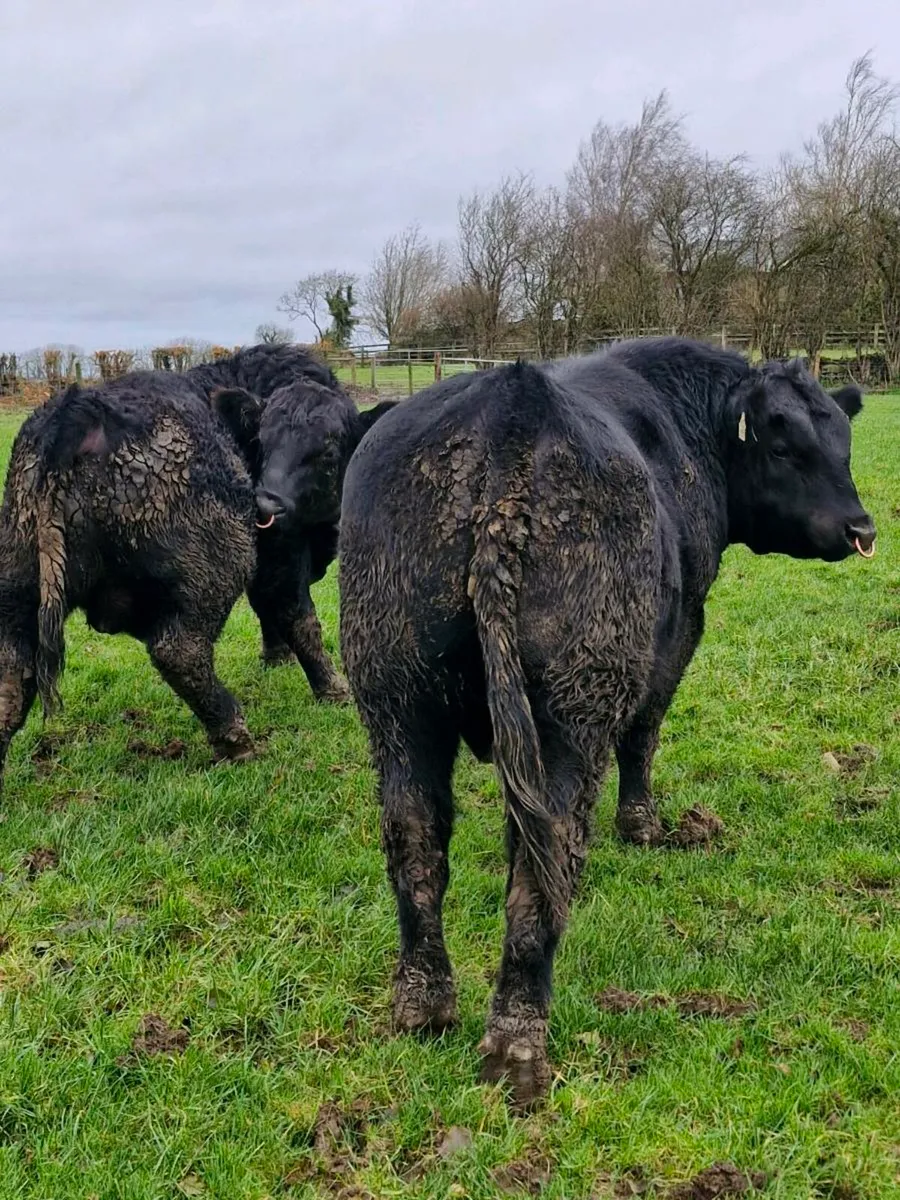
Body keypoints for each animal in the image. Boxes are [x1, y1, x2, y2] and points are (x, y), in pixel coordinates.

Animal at [337, 337, 875, 1107]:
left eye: (842, 440)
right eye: (785, 445)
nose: (862, 529)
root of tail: (511, 408)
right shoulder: (677, 635)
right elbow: (644, 735)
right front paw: (643, 824)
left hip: (396, 700)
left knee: (416, 840)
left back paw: (424, 1006)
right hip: (570, 708)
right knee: (546, 855)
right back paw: (518, 1046)